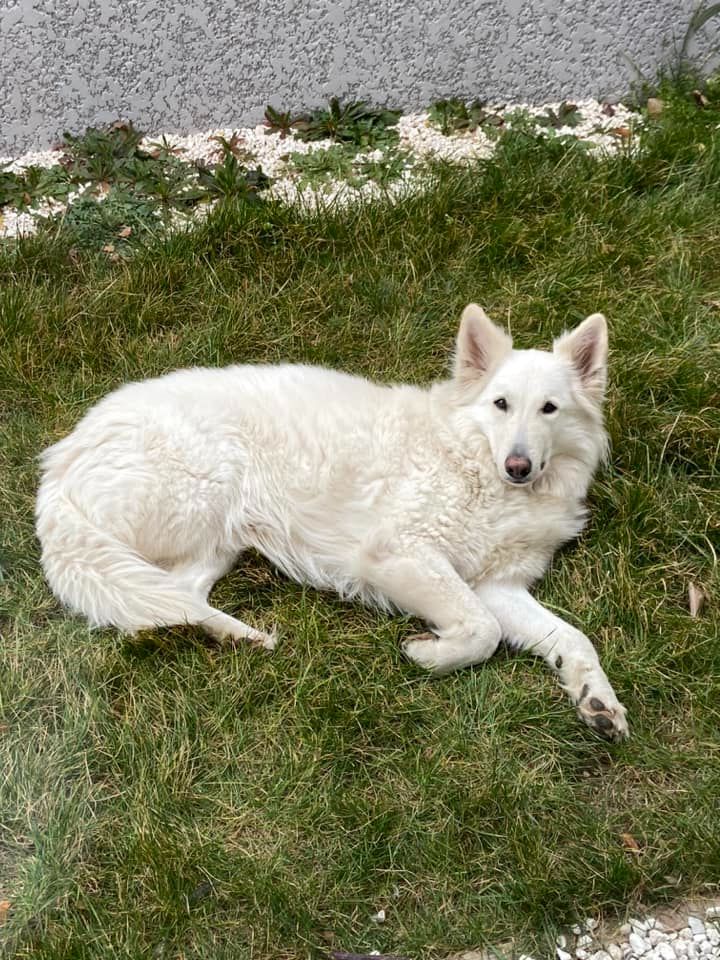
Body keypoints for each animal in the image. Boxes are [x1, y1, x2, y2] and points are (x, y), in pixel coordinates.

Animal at [36, 304, 628, 740]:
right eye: (501, 404)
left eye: (549, 408)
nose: (518, 466)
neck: (474, 465)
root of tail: (62, 462)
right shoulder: (400, 554)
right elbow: (482, 630)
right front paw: (429, 653)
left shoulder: (498, 586)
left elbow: (573, 637)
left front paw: (597, 699)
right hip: (208, 493)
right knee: (148, 596)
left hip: (220, 538)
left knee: (170, 600)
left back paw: (236, 637)